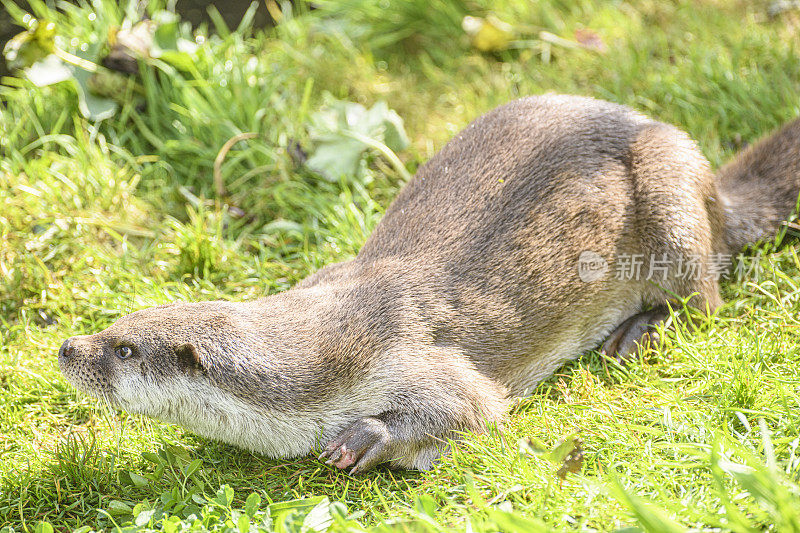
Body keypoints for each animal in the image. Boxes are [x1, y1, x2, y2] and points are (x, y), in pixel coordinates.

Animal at [59, 94, 800, 470]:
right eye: (114, 324)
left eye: (123, 350)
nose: (68, 346)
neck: (327, 359)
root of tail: (710, 186)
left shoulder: (412, 356)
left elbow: (474, 407)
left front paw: (364, 437)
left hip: (668, 195)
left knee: (707, 295)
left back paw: (639, 330)